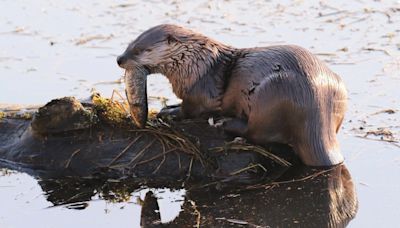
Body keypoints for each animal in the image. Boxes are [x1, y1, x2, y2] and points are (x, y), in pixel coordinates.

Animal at [116, 24, 346, 167]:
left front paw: (170, 112)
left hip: (273, 93)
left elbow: (191, 109)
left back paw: (225, 123)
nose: (119, 59)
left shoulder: (201, 91)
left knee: (257, 133)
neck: (195, 65)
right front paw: (170, 107)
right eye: (129, 44)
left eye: (139, 50)